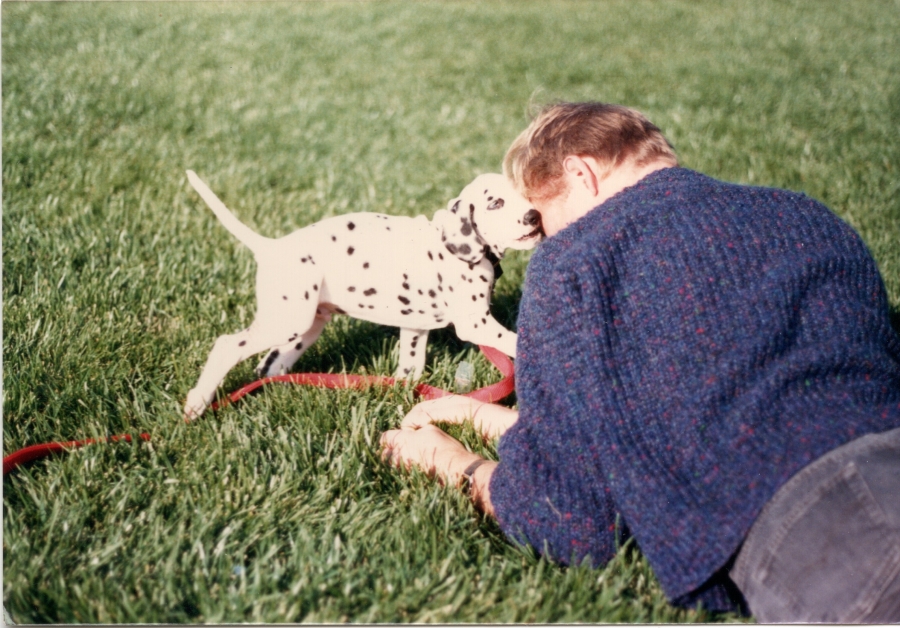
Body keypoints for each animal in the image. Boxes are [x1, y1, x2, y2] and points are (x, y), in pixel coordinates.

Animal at [183, 172, 540, 418]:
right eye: (495, 203)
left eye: (523, 196)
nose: (533, 216)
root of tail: (272, 247)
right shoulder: (476, 323)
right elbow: (511, 339)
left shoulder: (415, 326)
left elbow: (409, 368)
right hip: (286, 321)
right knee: (227, 346)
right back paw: (197, 403)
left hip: (305, 325)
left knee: (271, 362)